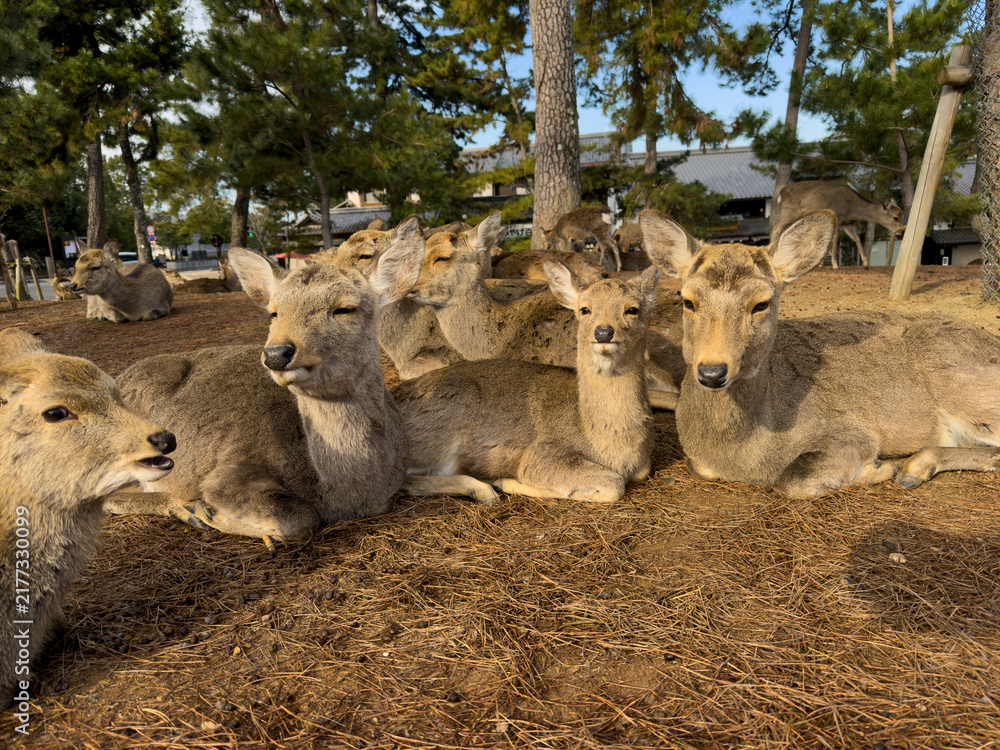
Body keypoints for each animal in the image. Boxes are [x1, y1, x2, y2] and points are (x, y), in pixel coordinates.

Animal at [105, 236, 494, 546]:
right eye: (273, 313)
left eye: (345, 308)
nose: (276, 353)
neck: (342, 490)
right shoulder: (227, 473)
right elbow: (299, 520)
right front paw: (212, 515)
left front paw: (486, 490)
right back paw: (187, 508)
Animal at [394, 261, 659, 503]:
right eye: (585, 309)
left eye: (632, 309)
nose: (604, 332)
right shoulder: (541, 456)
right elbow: (613, 485)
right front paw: (508, 481)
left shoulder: (643, 467)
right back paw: (485, 489)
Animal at [640, 207, 1000, 498]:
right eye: (687, 300)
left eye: (761, 303)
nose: (712, 372)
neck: (745, 455)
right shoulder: (698, 461)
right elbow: (699, 466)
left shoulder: (851, 432)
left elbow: (795, 479)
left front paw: (881, 468)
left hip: (966, 386)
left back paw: (911, 467)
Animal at [772, 181, 905, 268]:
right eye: (895, 217)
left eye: (902, 215)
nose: (902, 230)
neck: (853, 209)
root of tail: (781, 193)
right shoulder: (838, 217)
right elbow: (834, 239)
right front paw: (835, 264)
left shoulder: (848, 223)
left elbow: (856, 238)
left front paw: (866, 263)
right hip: (790, 211)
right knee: (776, 228)